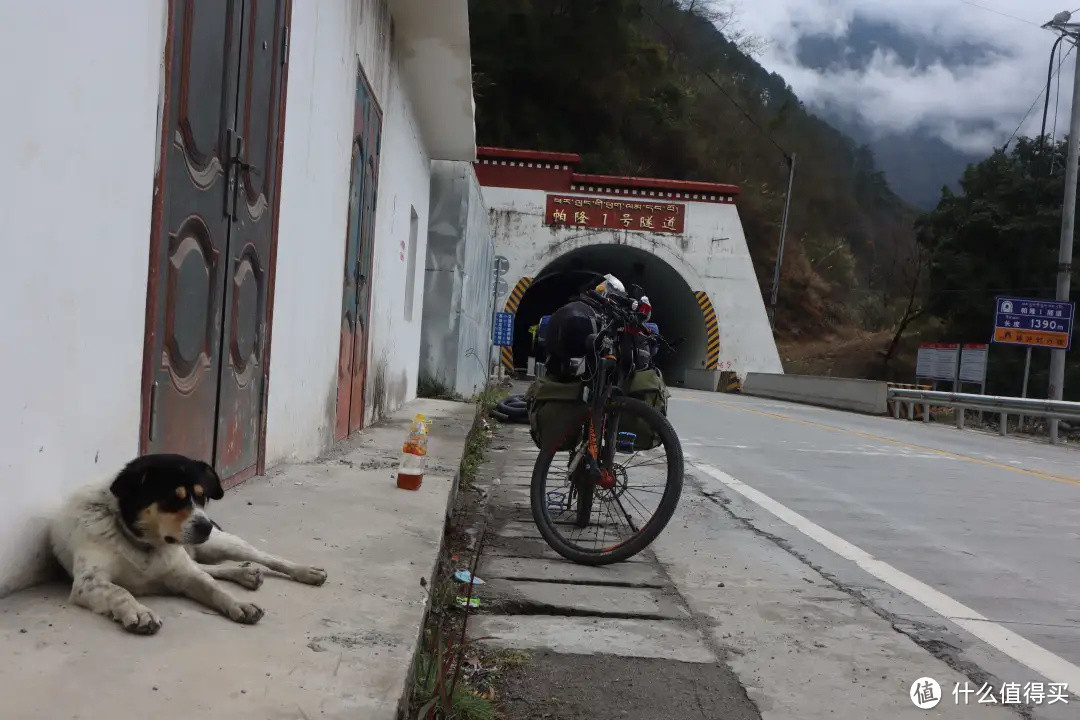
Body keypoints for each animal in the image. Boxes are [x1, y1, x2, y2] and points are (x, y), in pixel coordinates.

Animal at [50, 455, 326, 634]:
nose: (205, 526)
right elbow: (120, 591)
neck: (143, 544)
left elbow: (214, 587)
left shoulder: (183, 573)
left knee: (266, 557)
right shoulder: (89, 582)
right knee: (210, 567)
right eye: (174, 498)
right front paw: (140, 612)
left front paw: (238, 604)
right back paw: (246, 573)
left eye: (202, 497)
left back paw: (305, 571)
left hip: (222, 543)